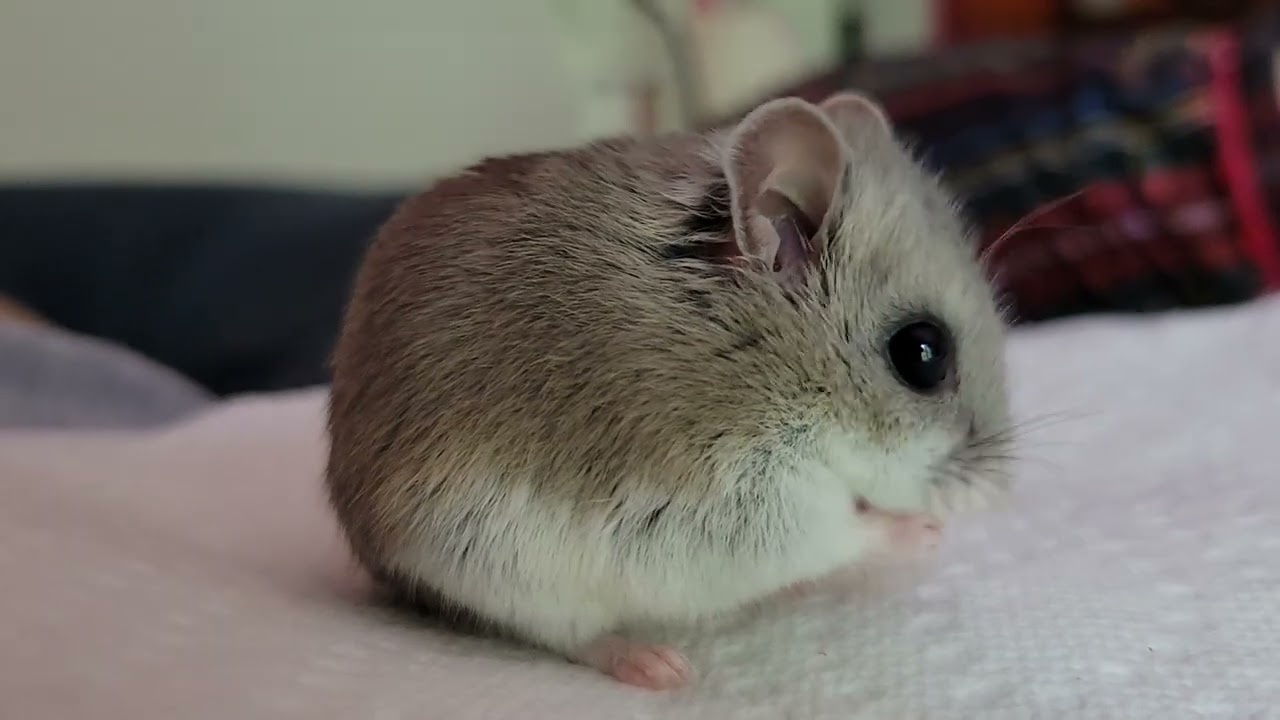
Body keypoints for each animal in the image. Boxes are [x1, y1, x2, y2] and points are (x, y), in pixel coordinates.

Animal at [326, 92, 1012, 690]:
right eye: (921, 354)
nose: (995, 493)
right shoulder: (738, 502)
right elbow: (845, 527)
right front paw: (923, 531)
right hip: (494, 568)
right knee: (566, 634)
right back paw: (654, 664)